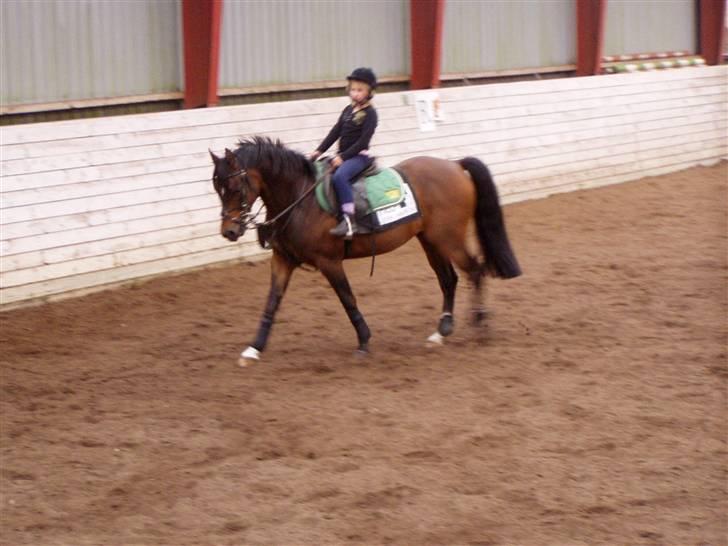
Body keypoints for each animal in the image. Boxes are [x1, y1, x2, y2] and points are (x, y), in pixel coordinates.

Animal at [208, 136, 520, 366]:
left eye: (235, 187)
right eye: (217, 189)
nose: (229, 232)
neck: (299, 199)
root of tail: (455, 166)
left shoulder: (329, 261)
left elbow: (348, 300)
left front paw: (364, 341)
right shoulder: (283, 259)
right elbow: (272, 302)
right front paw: (254, 348)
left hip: (449, 239)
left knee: (475, 270)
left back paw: (480, 326)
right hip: (431, 240)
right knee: (448, 279)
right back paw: (441, 333)